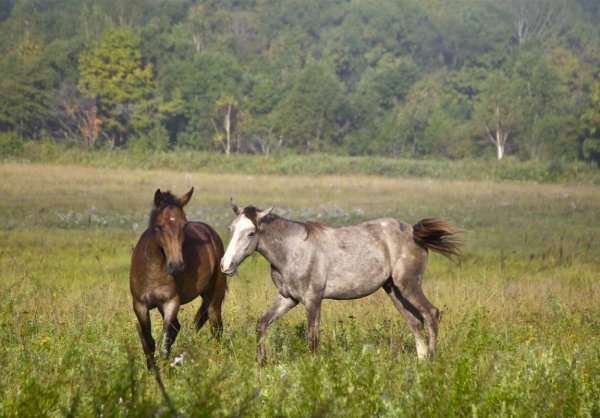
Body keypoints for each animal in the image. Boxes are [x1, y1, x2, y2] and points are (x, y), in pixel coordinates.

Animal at [130, 188, 226, 368]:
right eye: (160, 226)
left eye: (184, 225)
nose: (177, 265)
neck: (154, 268)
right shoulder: (140, 305)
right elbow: (149, 343)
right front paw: (152, 370)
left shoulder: (171, 303)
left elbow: (164, 342)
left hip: (214, 299)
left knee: (216, 328)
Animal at [220, 204, 460, 364]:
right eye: (231, 229)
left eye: (251, 233)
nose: (226, 265)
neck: (292, 249)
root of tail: (413, 231)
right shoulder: (288, 298)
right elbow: (262, 324)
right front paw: (261, 363)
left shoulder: (313, 299)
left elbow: (312, 338)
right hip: (394, 290)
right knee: (415, 322)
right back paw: (420, 362)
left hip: (409, 285)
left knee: (431, 313)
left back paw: (431, 360)